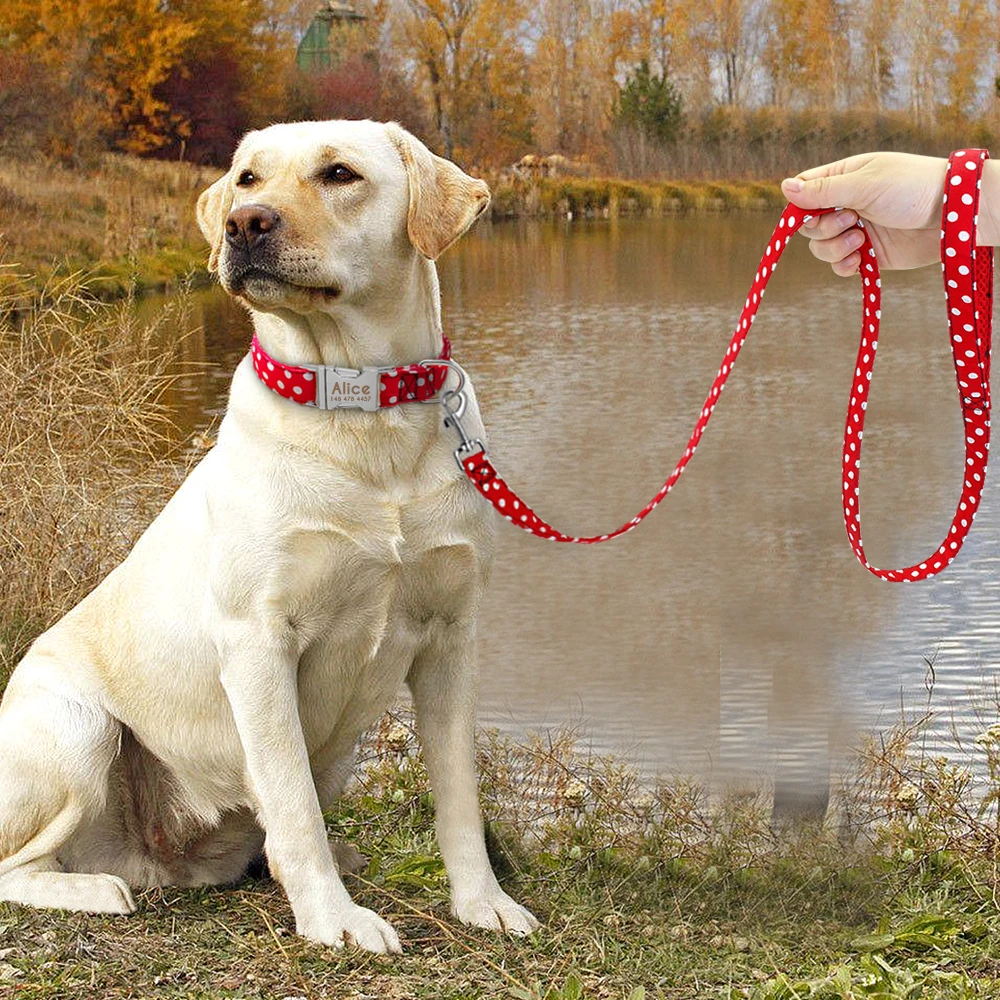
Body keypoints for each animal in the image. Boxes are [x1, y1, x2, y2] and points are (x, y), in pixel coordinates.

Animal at [0, 119, 540, 952]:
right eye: (248, 178)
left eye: (340, 173)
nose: (244, 224)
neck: (362, 415)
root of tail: (154, 859)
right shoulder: (259, 641)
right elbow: (290, 800)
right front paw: (333, 918)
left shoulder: (453, 635)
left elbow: (460, 798)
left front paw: (484, 903)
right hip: (75, 729)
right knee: (19, 867)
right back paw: (96, 888)